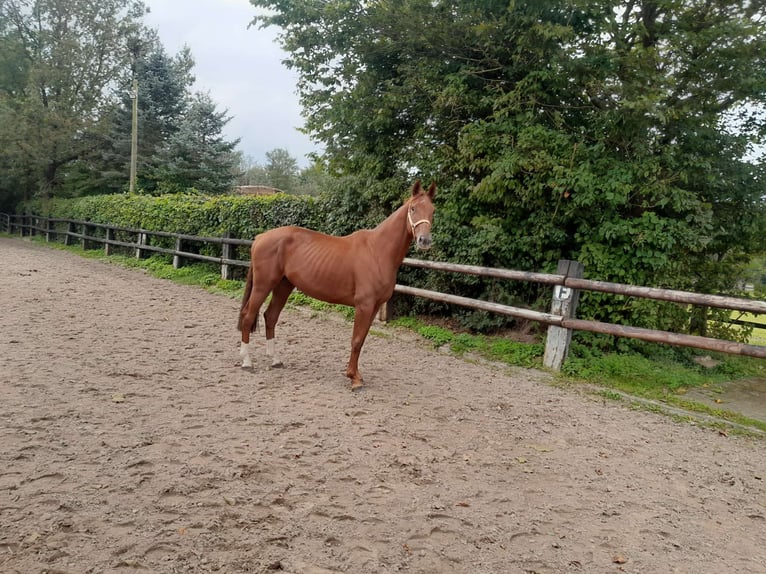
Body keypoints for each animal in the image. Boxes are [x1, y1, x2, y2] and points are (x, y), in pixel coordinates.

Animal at [237, 181, 436, 392]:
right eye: (413, 208)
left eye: (433, 210)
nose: (424, 240)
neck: (377, 251)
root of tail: (260, 237)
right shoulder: (364, 306)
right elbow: (356, 340)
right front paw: (354, 379)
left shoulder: (374, 307)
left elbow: (361, 340)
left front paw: (357, 375)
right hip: (263, 285)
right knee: (248, 315)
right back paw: (247, 362)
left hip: (283, 286)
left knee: (271, 316)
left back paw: (275, 360)